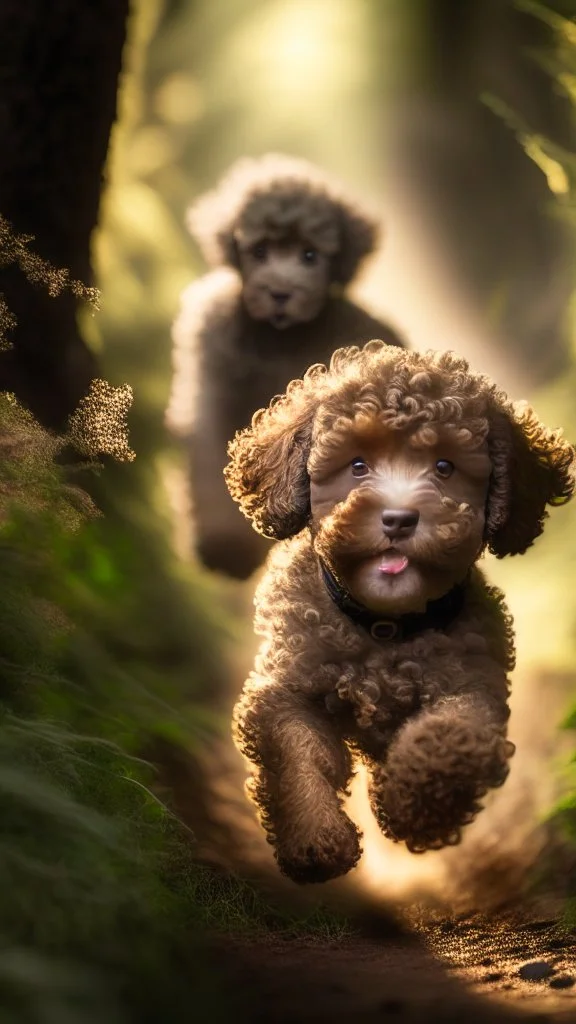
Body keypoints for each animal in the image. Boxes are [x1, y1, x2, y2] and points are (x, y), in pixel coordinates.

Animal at [163, 154, 401, 581]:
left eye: (310, 255)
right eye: (259, 251)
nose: (280, 293)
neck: (277, 341)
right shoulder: (215, 388)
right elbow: (210, 467)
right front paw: (224, 545)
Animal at [222, 342, 569, 880]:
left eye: (445, 467)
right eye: (357, 465)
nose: (399, 519)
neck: (384, 627)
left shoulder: (474, 688)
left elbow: (446, 736)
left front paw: (410, 811)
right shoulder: (284, 688)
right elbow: (295, 750)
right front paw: (314, 840)